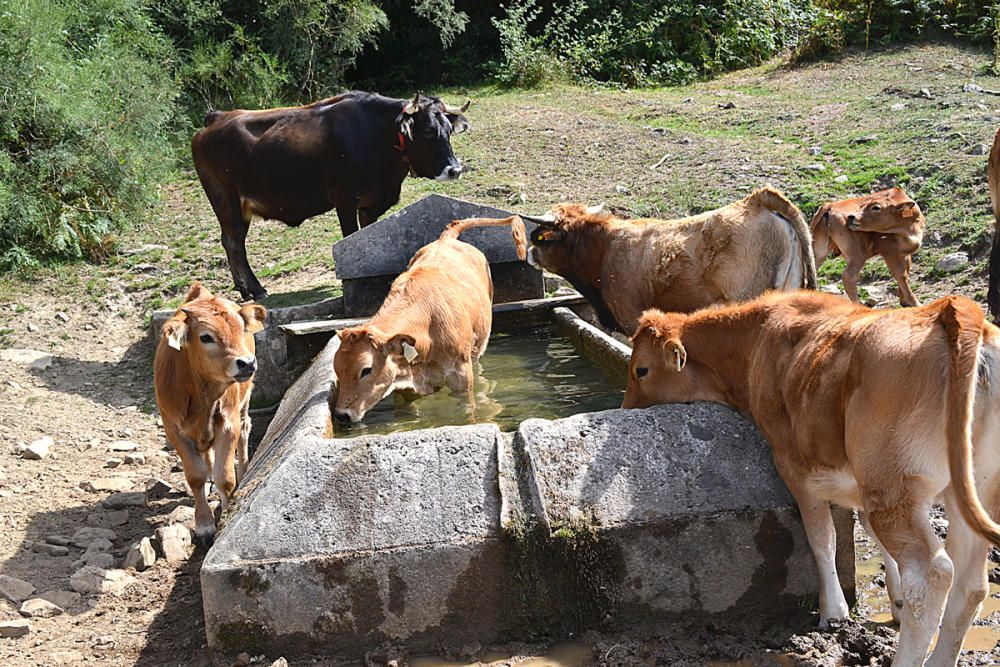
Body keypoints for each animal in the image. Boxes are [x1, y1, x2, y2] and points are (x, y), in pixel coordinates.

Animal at [152, 282, 266, 548]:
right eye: (206, 337)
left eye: (241, 329)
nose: (247, 363)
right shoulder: (173, 429)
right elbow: (195, 476)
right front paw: (204, 525)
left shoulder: (228, 423)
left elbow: (225, 477)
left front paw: (226, 515)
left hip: (243, 404)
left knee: (245, 430)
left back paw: (244, 471)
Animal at [192, 91, 472, 300]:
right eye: (427, 132)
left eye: (448, 129)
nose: (454, 170)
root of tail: (216, 119)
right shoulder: (344, 199)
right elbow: (350, 234)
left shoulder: (369, 203)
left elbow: (365, 235)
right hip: (225, 198)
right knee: (235, 244)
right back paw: (256, 290)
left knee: (229, 241)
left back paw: (244, 290)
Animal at [332, 217, 528, 426]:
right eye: (337, 369)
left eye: (366, 370)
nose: (341, 415)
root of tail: (447, 238)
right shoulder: (403, 390)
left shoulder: (461, 378)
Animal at [624, 292, 1000, 667]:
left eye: (641, 369)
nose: (626, 410)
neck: (753, 341)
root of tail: (946, 309)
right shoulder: (858, 481)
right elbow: (871, 536)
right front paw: (895, 602)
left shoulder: (793, 465)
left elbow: (822, 538)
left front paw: (833, 612)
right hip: (970, 489)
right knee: (971, 584)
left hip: (892, 487)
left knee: (932, 575)